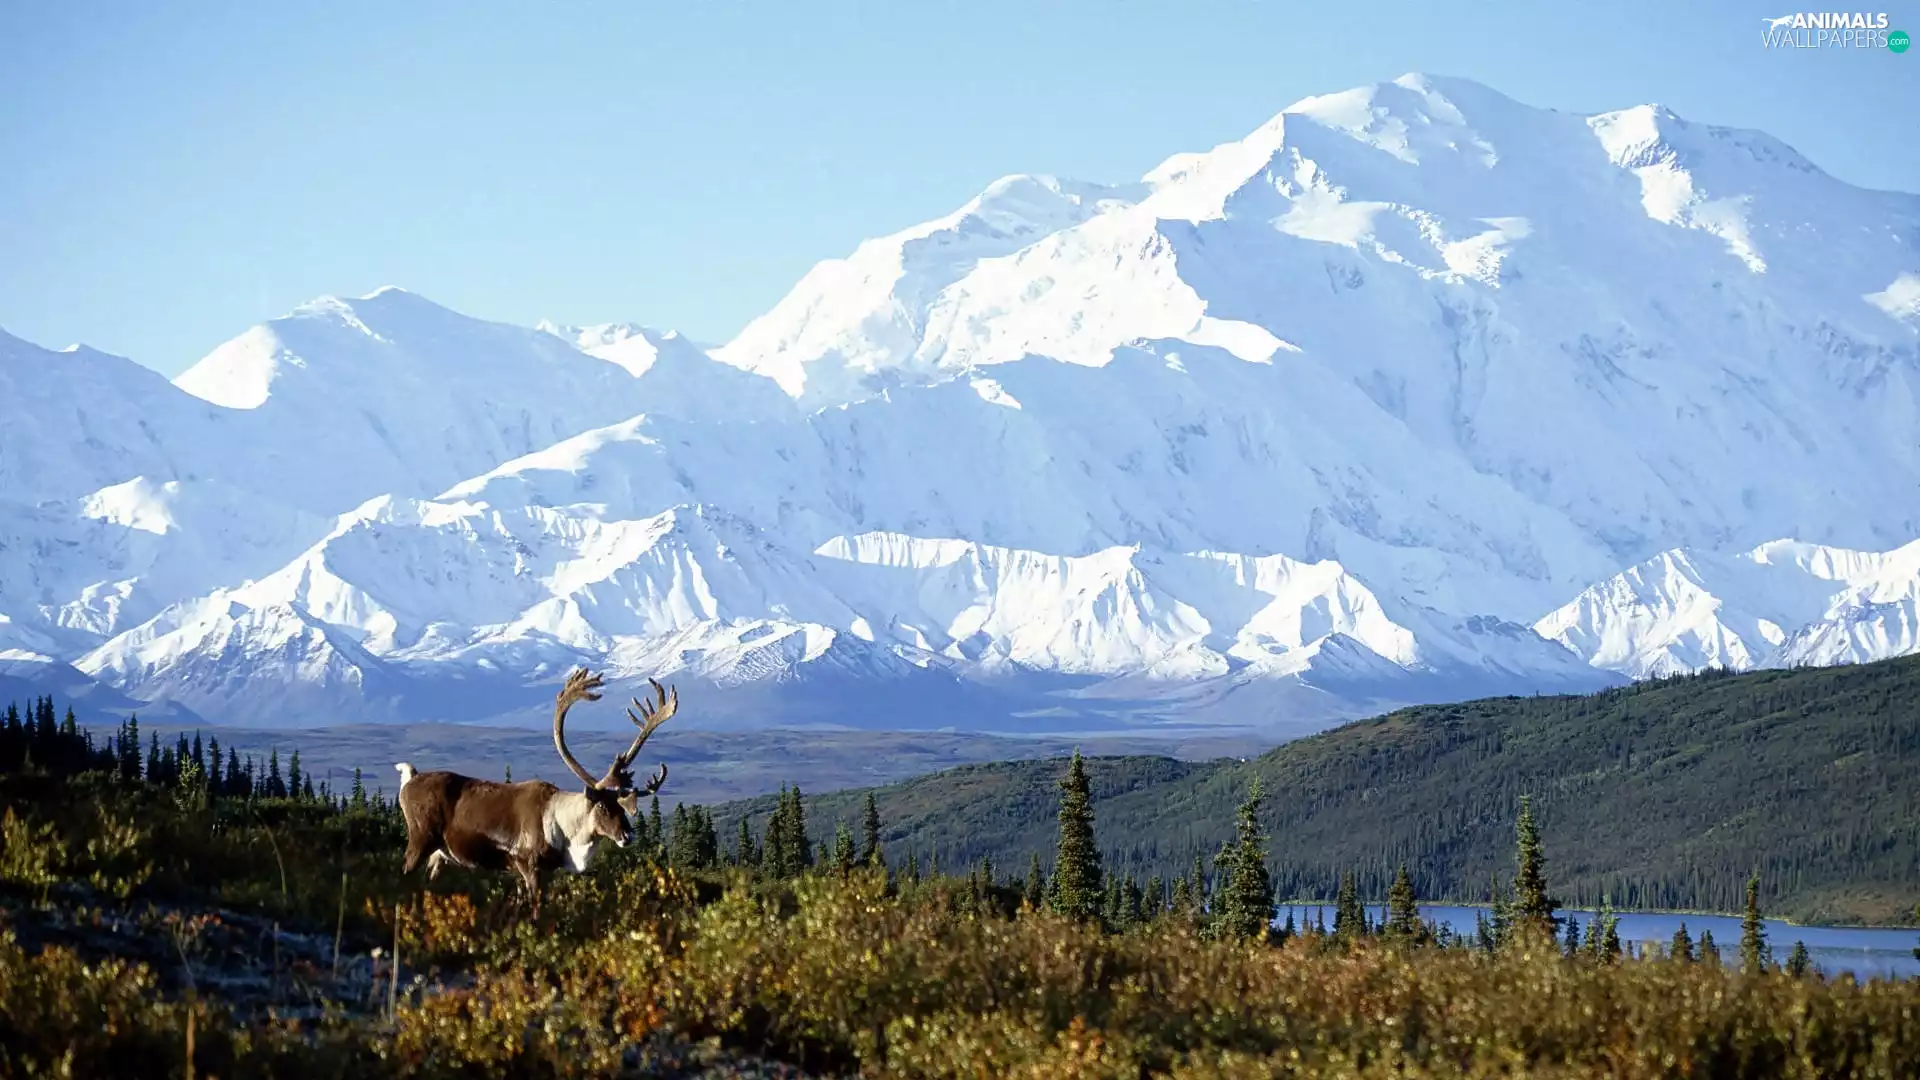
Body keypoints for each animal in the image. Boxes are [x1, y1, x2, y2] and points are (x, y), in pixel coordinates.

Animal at [393, 668, 676, 914]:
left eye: (623, 807)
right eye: (603, 806)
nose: (627, 836)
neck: (565, 827)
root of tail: (409, 781)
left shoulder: (546, 872)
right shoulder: (528, 865)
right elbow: (535, 911)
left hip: (440, 855)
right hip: (420, 838)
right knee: (404, 875)